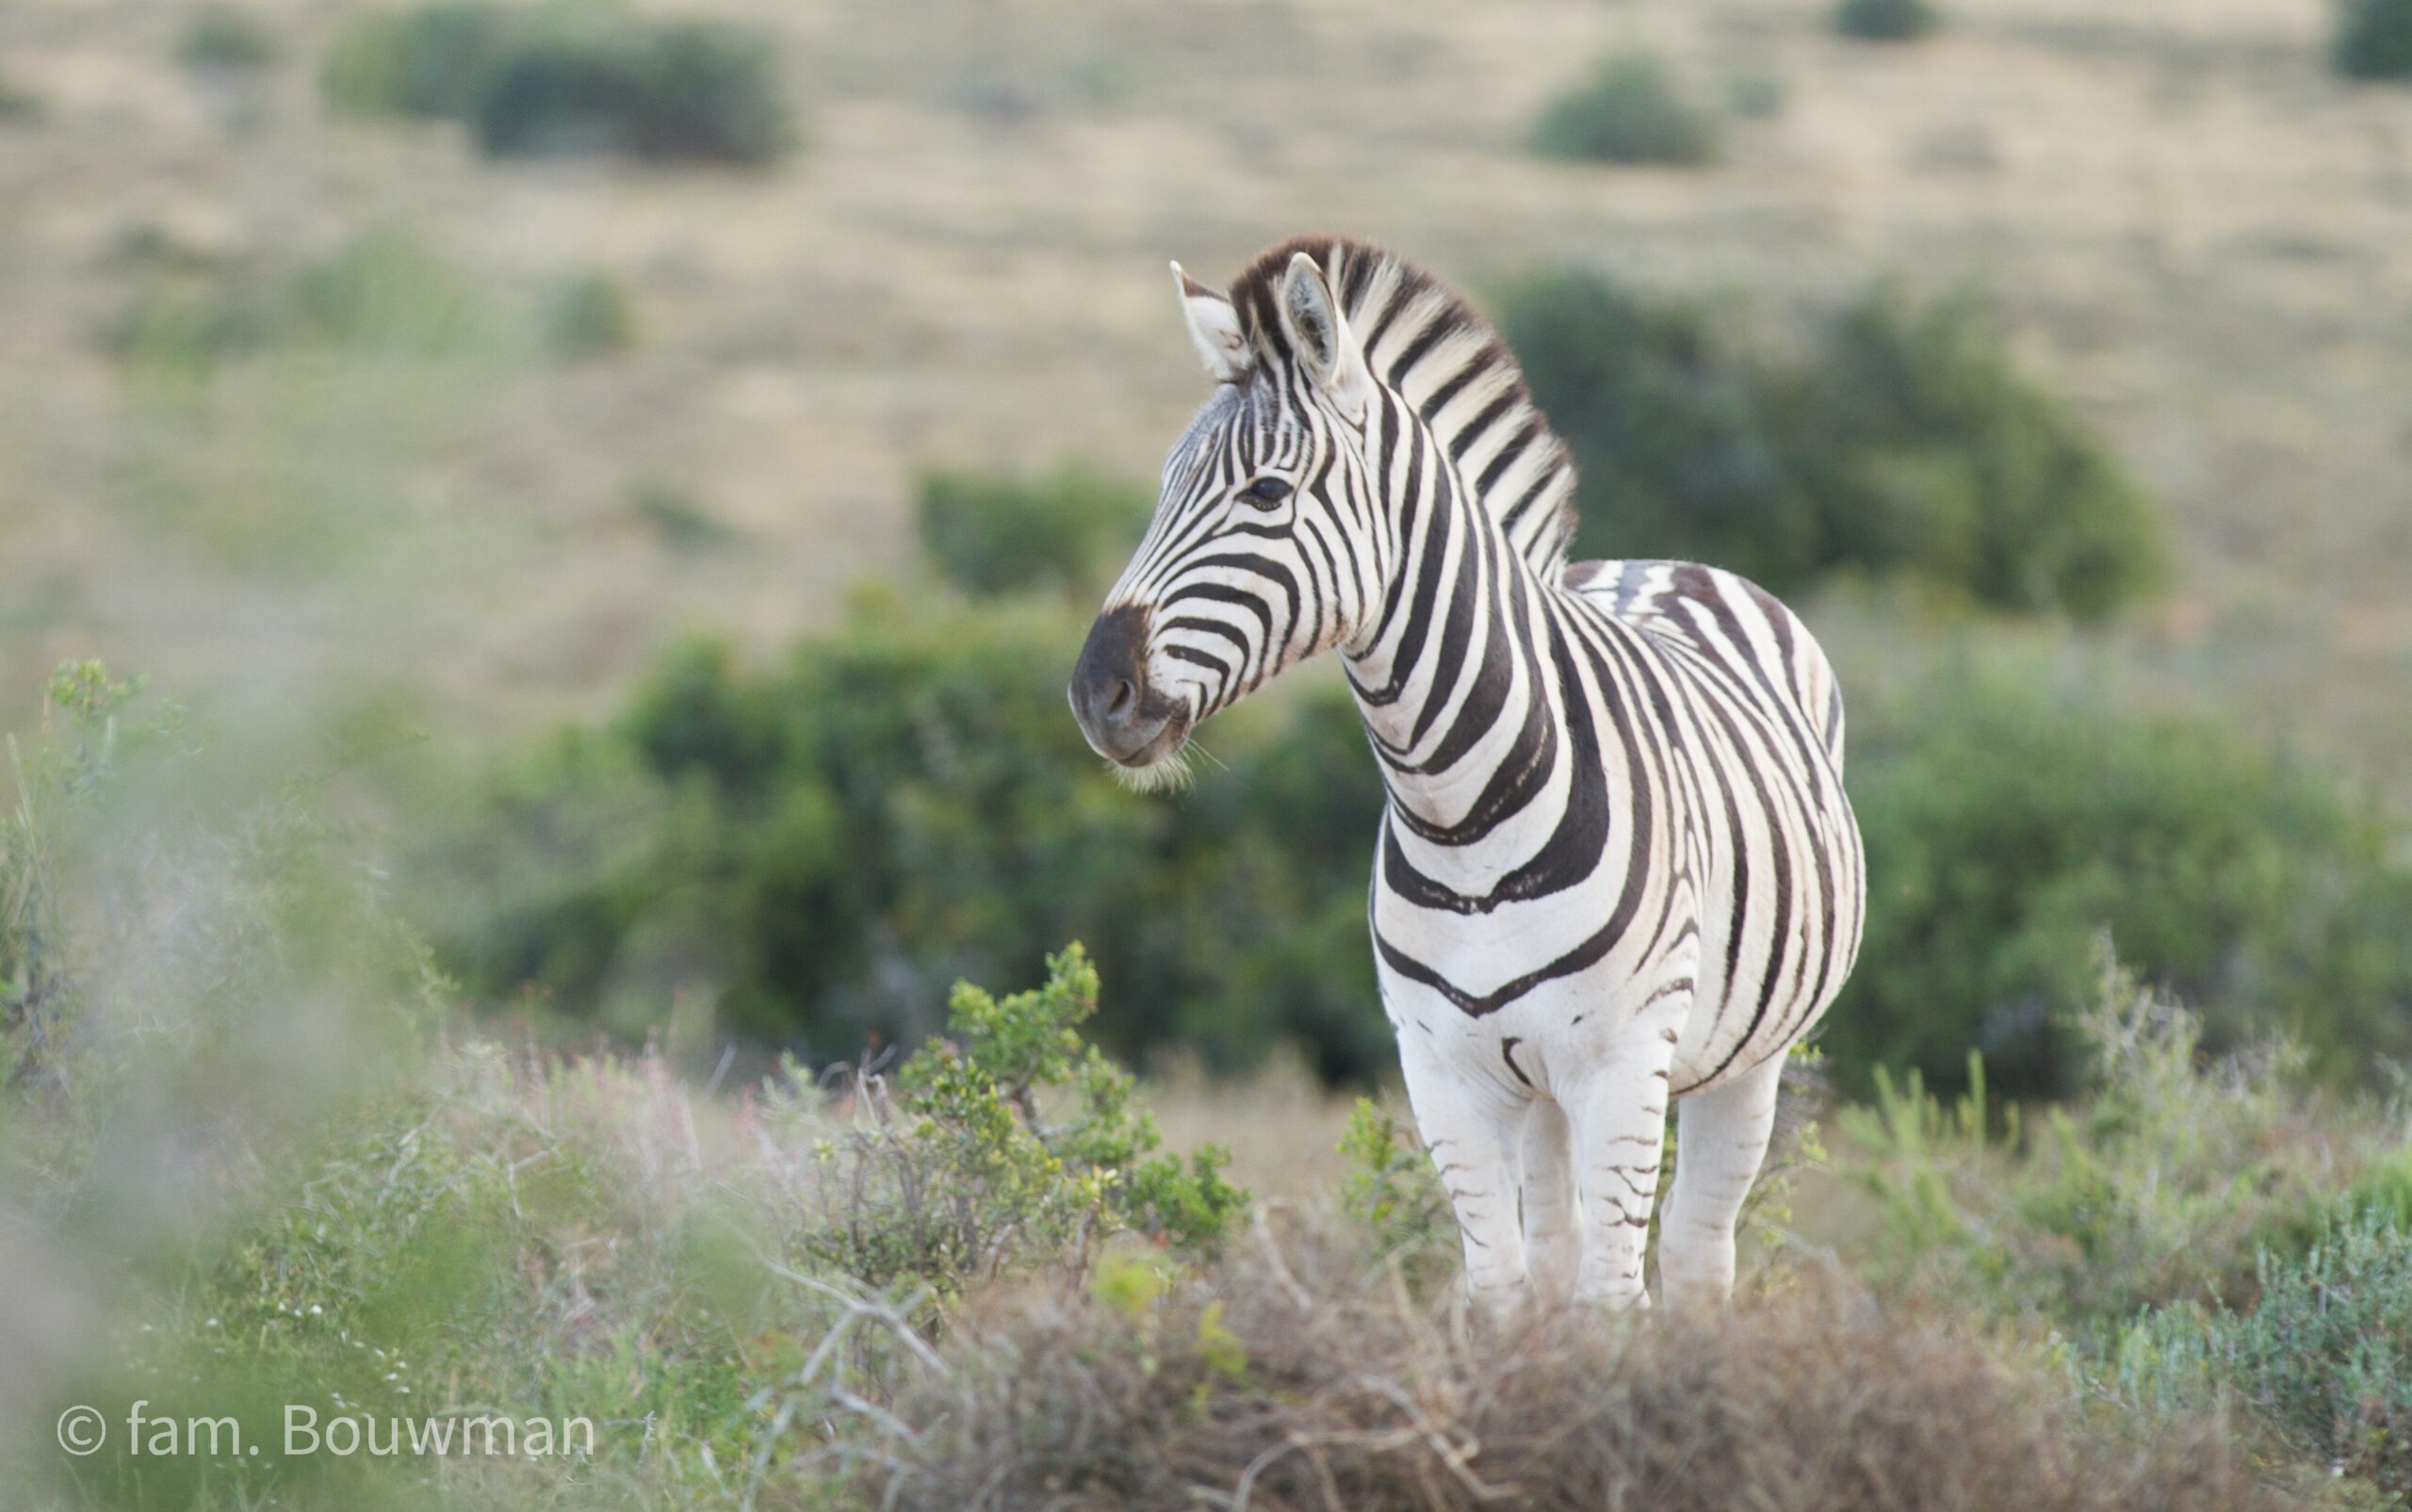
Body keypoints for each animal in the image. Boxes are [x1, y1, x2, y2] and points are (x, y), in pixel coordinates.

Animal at [1070, 236, 1862, 1311]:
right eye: (1161, 487)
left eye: (1267, 494)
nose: (1095, 691)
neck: (1461, 810)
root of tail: (1663, 561)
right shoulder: (1445, 1072)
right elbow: (1502, 1292)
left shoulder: (1621, 1064)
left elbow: (1612, 1300)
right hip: (1542, 1089)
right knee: (1563, 1241)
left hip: (1747, 1060)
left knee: (1699, 1253)